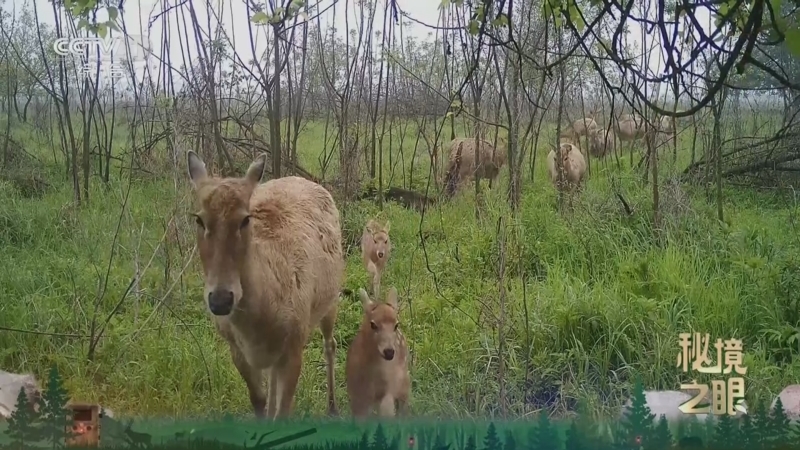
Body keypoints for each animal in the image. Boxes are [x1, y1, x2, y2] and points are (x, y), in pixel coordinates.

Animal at [186, 151, 345, 419]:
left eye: (245, 219)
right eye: (199, 219)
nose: (221, 299)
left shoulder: (295, 344)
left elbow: (284, 411)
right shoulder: (237, 350)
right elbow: (258, 400)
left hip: (331, 298)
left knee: (330, 344)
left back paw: (333, 407)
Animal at [346, 287, 411, 418]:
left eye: (396, 325)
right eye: (373, 324)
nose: (389, 352)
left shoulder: (388, 391)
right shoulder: (356, 396)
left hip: (403, 379)